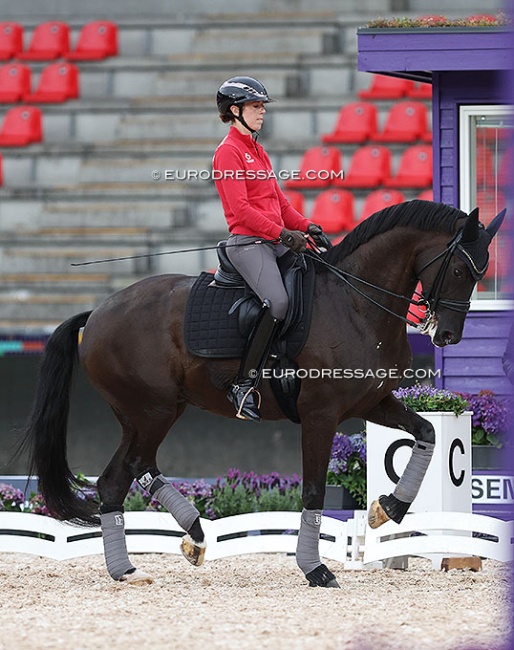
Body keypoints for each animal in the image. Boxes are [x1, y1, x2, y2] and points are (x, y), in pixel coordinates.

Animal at [18, 199, 502, 588]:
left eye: (481, 272)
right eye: (460, 269)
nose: (448, 336)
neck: (356, 303)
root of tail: (98, 312)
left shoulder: (374, 403)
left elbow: (427, 433)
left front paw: (388, 509)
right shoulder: (321, 415)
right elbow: (313, 490)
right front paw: (316, 569)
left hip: (150, 413)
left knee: (128, 473)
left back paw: (174, 546)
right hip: (152, 411)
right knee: (124, 474)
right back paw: (146, 559)